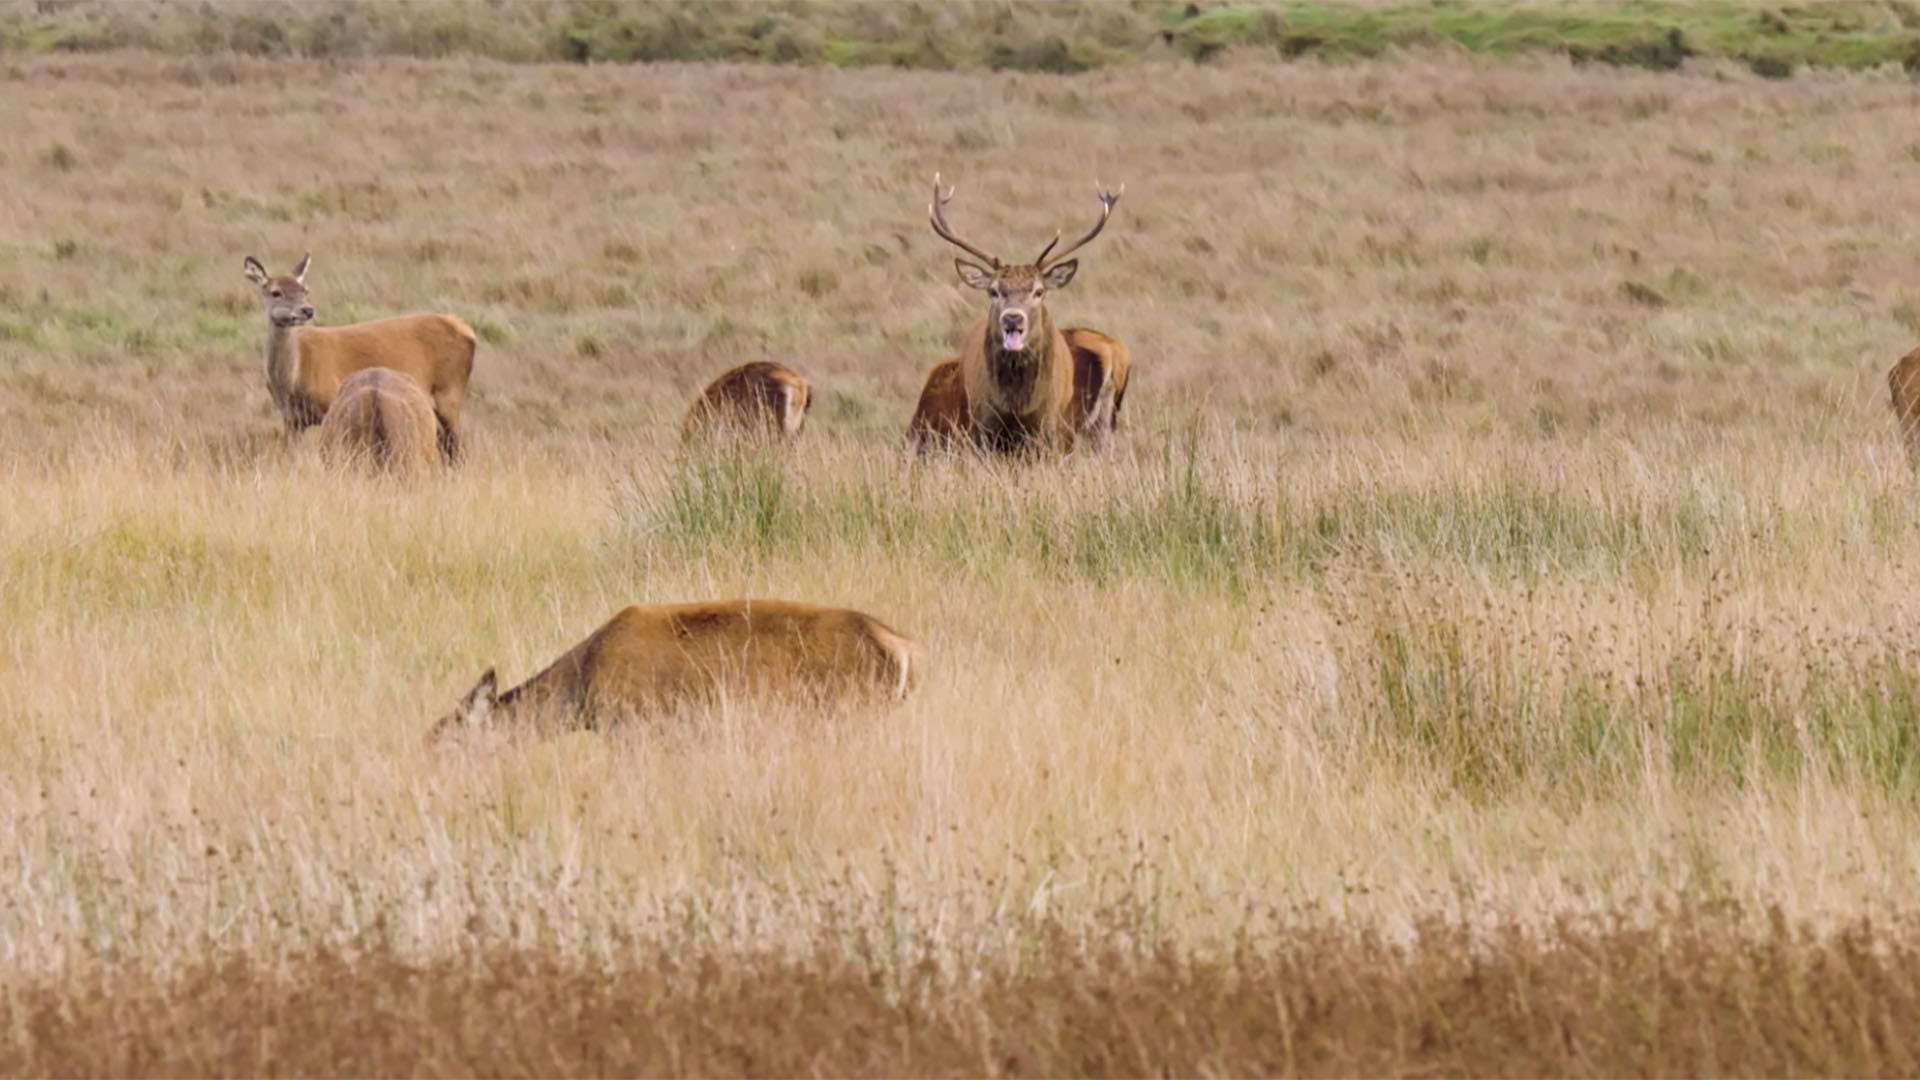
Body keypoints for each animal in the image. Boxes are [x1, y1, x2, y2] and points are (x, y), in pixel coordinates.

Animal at [240, 253, 480, 461]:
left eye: (305, 290)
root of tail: (466, 330)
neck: (293, 380)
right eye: (275, 292)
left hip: (449, 390)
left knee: (457, 448)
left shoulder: (330, 402)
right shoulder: (291, 420)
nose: (307, 310)